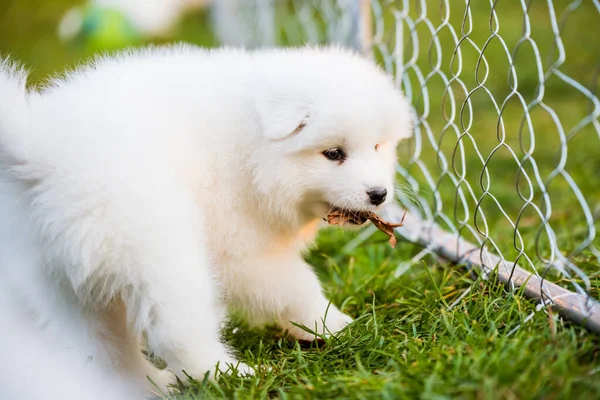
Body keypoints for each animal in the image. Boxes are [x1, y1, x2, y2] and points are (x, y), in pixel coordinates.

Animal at [0, 45, 412, 398]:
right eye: (334, 154)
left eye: (377, 146)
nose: (379, 194)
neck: (252, 147)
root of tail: (39, 156)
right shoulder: (242, 253)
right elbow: (296, 286)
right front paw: (335, 324)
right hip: (161, 250)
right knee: (179, 334)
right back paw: (236, 375)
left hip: (65, 286)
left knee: (104, 350)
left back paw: (150, 384)